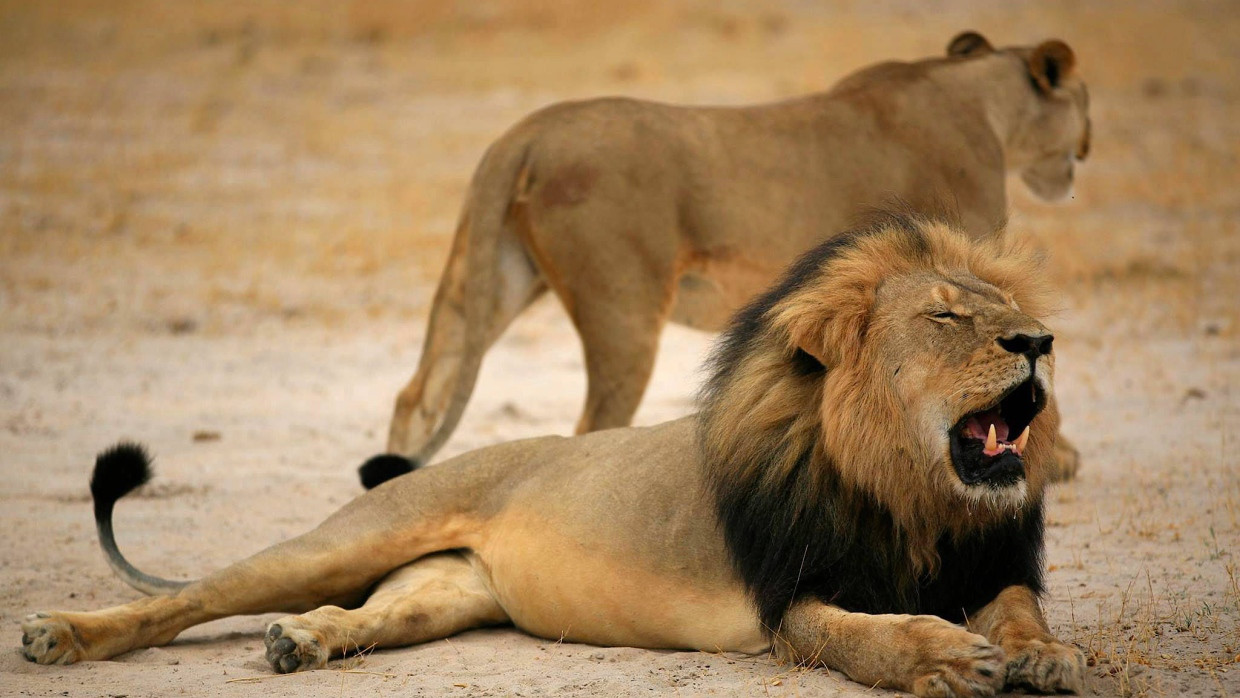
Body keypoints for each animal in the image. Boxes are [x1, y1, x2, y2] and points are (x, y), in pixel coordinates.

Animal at [23, 215, 1084, 696]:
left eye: (1007, 311)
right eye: (947, 318)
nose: (1039, 341)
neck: (913, 496)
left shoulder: (987, 560)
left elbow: (1021, 609)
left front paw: (1045, 657)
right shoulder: (791, 600)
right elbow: (868, 636)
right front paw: (945, 656)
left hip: (443, 591)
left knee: (365, 614)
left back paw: (305, 643)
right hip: (349, 537)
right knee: (185, 600)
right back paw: (61, 635)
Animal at [378, 31, 1090, 487]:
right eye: (1083, 105)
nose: (1085, 146)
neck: (985, 103)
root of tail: (524, 132)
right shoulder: (961, 260)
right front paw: (1055, 458)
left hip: (492, 278)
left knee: (418, 392)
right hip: (622, 310)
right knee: (591, 426)